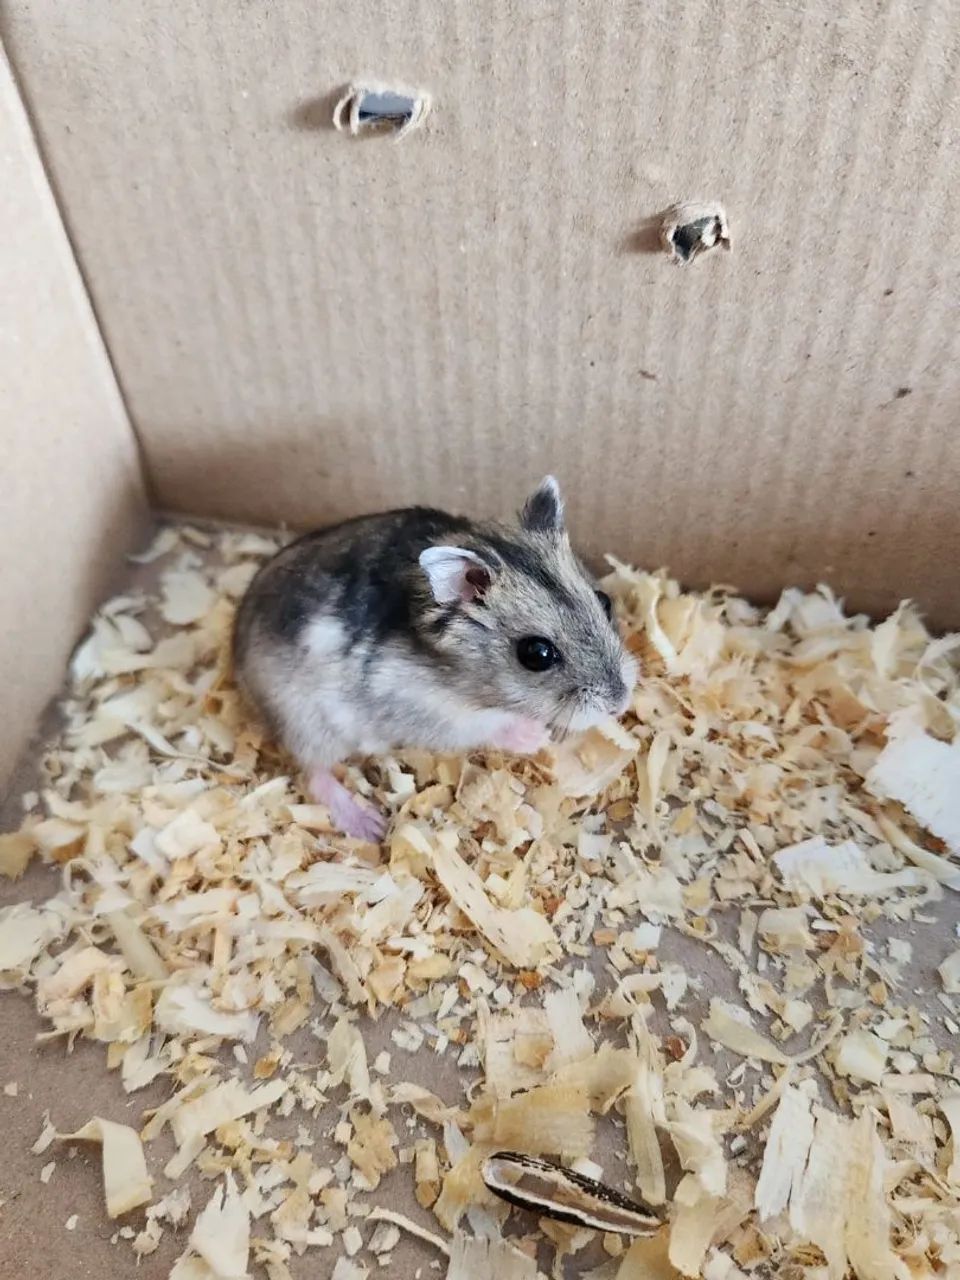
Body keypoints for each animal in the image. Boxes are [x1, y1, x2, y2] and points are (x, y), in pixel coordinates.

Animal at [232, 477, 637, 840]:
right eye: (536, 654)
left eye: (605, 601)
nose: (619, 705)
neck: (455, 673)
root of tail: (235, 647)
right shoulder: (426, 710)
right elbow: (488, 725)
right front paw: (536, 736)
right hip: (306, 723)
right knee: (314, 774)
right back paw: (370, 827)